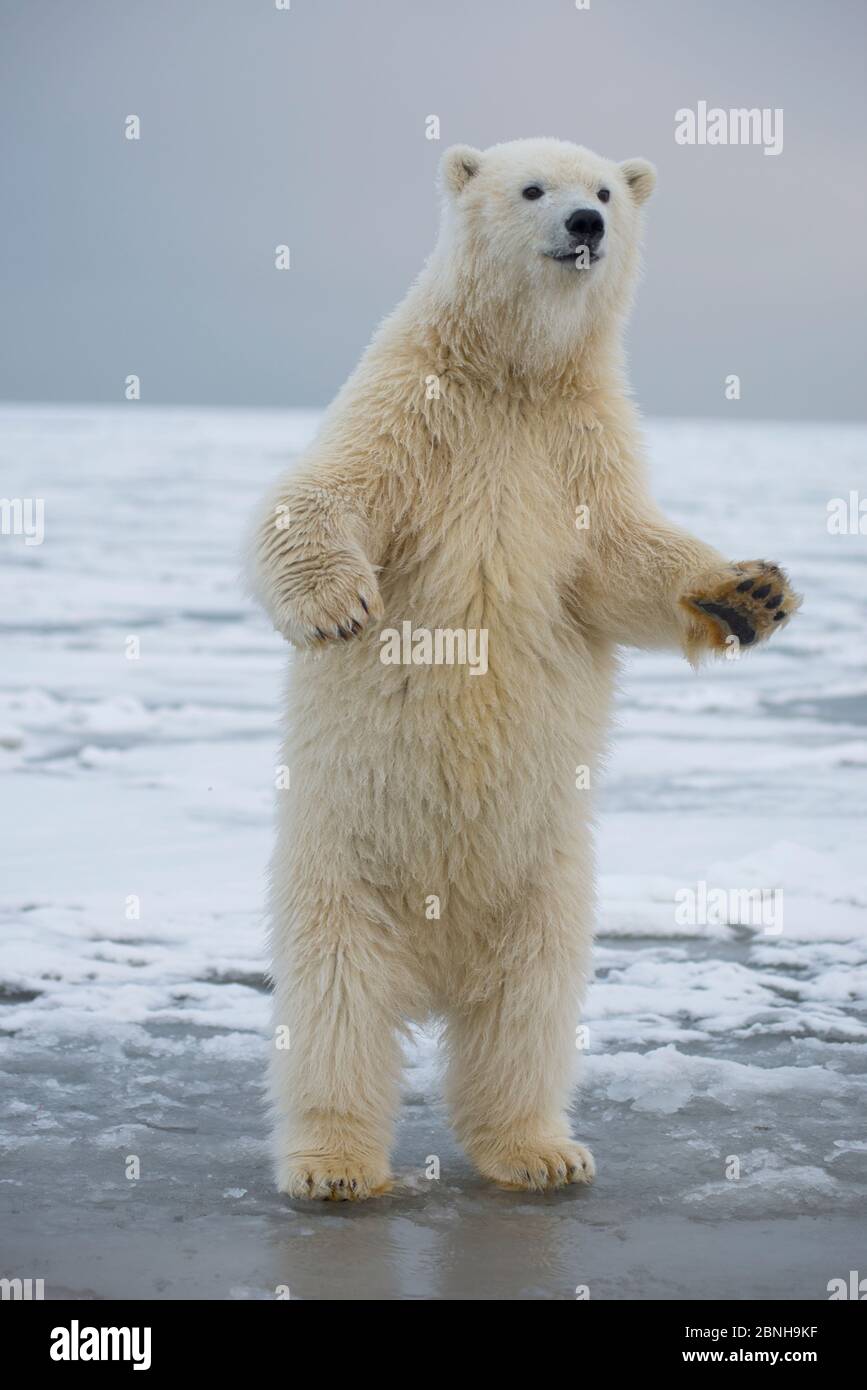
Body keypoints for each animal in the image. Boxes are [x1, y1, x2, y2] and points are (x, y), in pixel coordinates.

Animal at [248, 143, 800, 1206]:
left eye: (608, 190)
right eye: (533, 188)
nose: (586, 224)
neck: (512, 373)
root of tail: (434, 967)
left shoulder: (581, 443)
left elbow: (623, 560)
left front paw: (748, 592)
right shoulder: (411, 406)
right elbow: (324, 493)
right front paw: (337, 605)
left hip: (546, 884)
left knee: (527, 1013)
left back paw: (539, 1150)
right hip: (342, 868)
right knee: (336, 1008)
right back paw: (335, 1164)